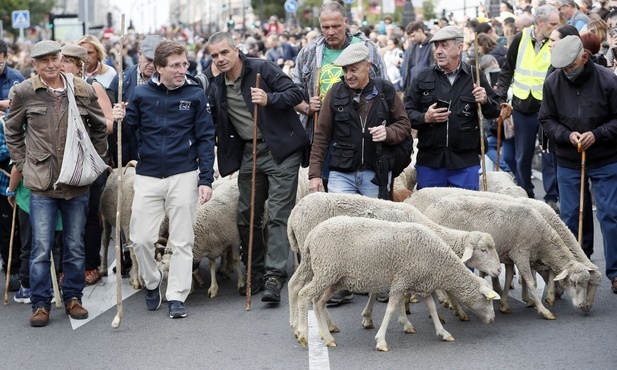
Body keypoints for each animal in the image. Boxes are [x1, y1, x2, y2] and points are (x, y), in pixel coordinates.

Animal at [286, 192, 498, 330]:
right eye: (483, 250)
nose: (498, 271)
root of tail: (294, 213)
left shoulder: (384, 263)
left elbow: (377, 291)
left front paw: (369, 317)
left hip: (308, 259)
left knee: (294, 284)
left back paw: (296, 324)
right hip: (322, 261)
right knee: (309, 293)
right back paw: (318, 326)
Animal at [294, 217, 500, 352]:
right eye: (488, 300)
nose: (492, 319)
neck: (440, 262)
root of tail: (311, 235)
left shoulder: (422, 284)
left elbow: (432, 308)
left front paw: (443, 332)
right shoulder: (402, 280)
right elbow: (391, 309)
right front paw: (381, 341)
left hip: (335, 278)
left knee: (318, 302)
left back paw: (327, 338)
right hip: (326, 271)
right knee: (304, 295)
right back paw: (303, 335)